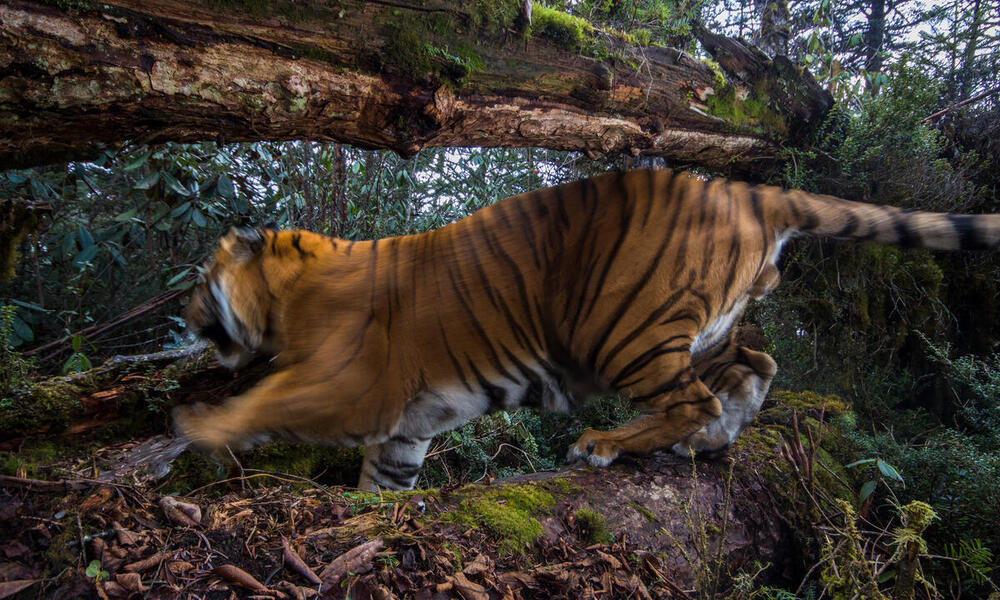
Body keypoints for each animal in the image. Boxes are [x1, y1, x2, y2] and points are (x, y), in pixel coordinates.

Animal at [174, 166, 1000, 490]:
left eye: (198, 281)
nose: (183, 317)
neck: (286, 292)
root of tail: (746, 191)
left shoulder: (351, 389)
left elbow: (264, 403)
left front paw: (195, 426)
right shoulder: (404, 427)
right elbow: (385, 481)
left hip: (623, 326)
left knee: (694, 397)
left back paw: (604, 444)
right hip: (701, 325)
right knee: (754, 368)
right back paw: (710, 441)